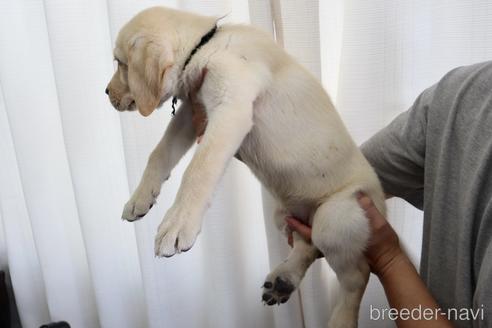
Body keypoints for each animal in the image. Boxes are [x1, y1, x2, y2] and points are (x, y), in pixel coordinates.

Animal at [106, 5, 384, 328]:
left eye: (121, 64)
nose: (106, 92)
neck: (205, 46)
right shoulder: (193, 113)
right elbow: (159, 153)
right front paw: (140, 199)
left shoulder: (230, 109)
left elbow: (198, 170)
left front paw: (176, 225)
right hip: (285, 215)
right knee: (308, 246)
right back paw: (283, 280)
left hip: (336, 216)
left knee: (356, 275)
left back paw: (341, 318)